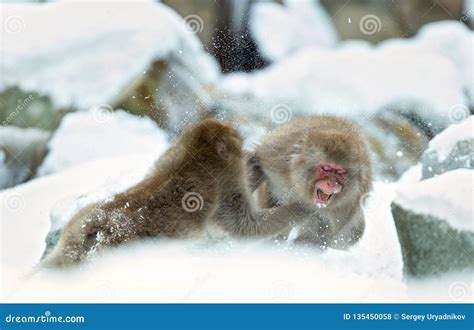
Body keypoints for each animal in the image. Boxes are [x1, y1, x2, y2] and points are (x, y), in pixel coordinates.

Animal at [42, 120, 306, 266]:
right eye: (237, 143)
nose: (247, 154)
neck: (195, 154)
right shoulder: (224, 182)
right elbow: (245, 226)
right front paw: (299, 209)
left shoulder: (168, 157)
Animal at [246, 114, 372, 249]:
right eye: (326, 168)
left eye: (340, 172)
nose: (332, 183)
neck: (304, 191)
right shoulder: (279, 156)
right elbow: (258, 163)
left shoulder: (348, 203)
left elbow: (323, 234)